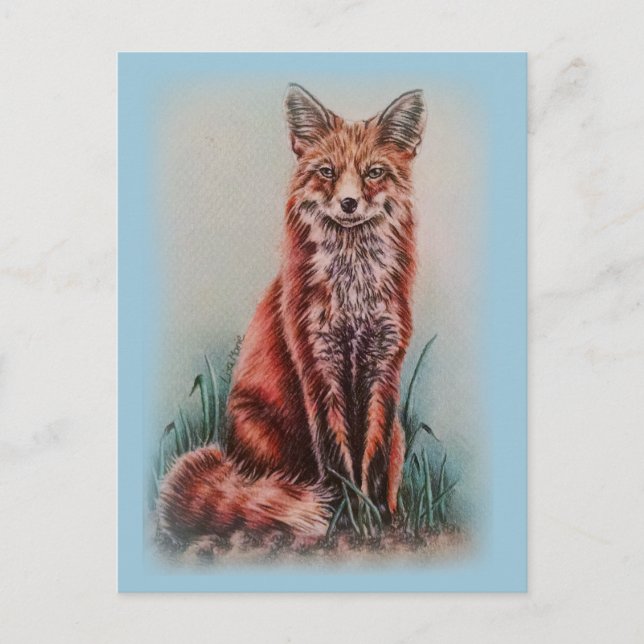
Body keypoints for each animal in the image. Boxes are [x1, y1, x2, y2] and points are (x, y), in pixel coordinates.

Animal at [158, 84, 426, 544]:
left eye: (373, 172)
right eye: (327, 172)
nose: (349, 202)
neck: (352, 293)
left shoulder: (383, 365)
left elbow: (371, 458)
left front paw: (374, 517)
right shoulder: (318, 364)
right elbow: (336, 458)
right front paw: (345, 515)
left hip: (400, 434)